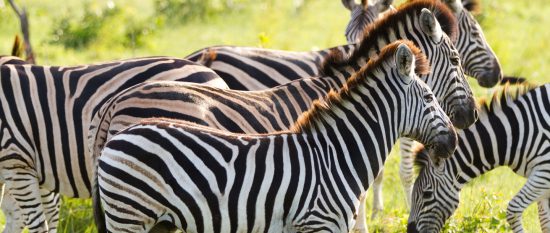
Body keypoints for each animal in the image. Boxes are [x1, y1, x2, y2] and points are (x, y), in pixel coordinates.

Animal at [408, 83, 550, 233]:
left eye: (427, 194)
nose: (410, 231)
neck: (514, 133)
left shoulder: (544, 172)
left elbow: (513, 210)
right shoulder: (542, 180)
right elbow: (545, 222)